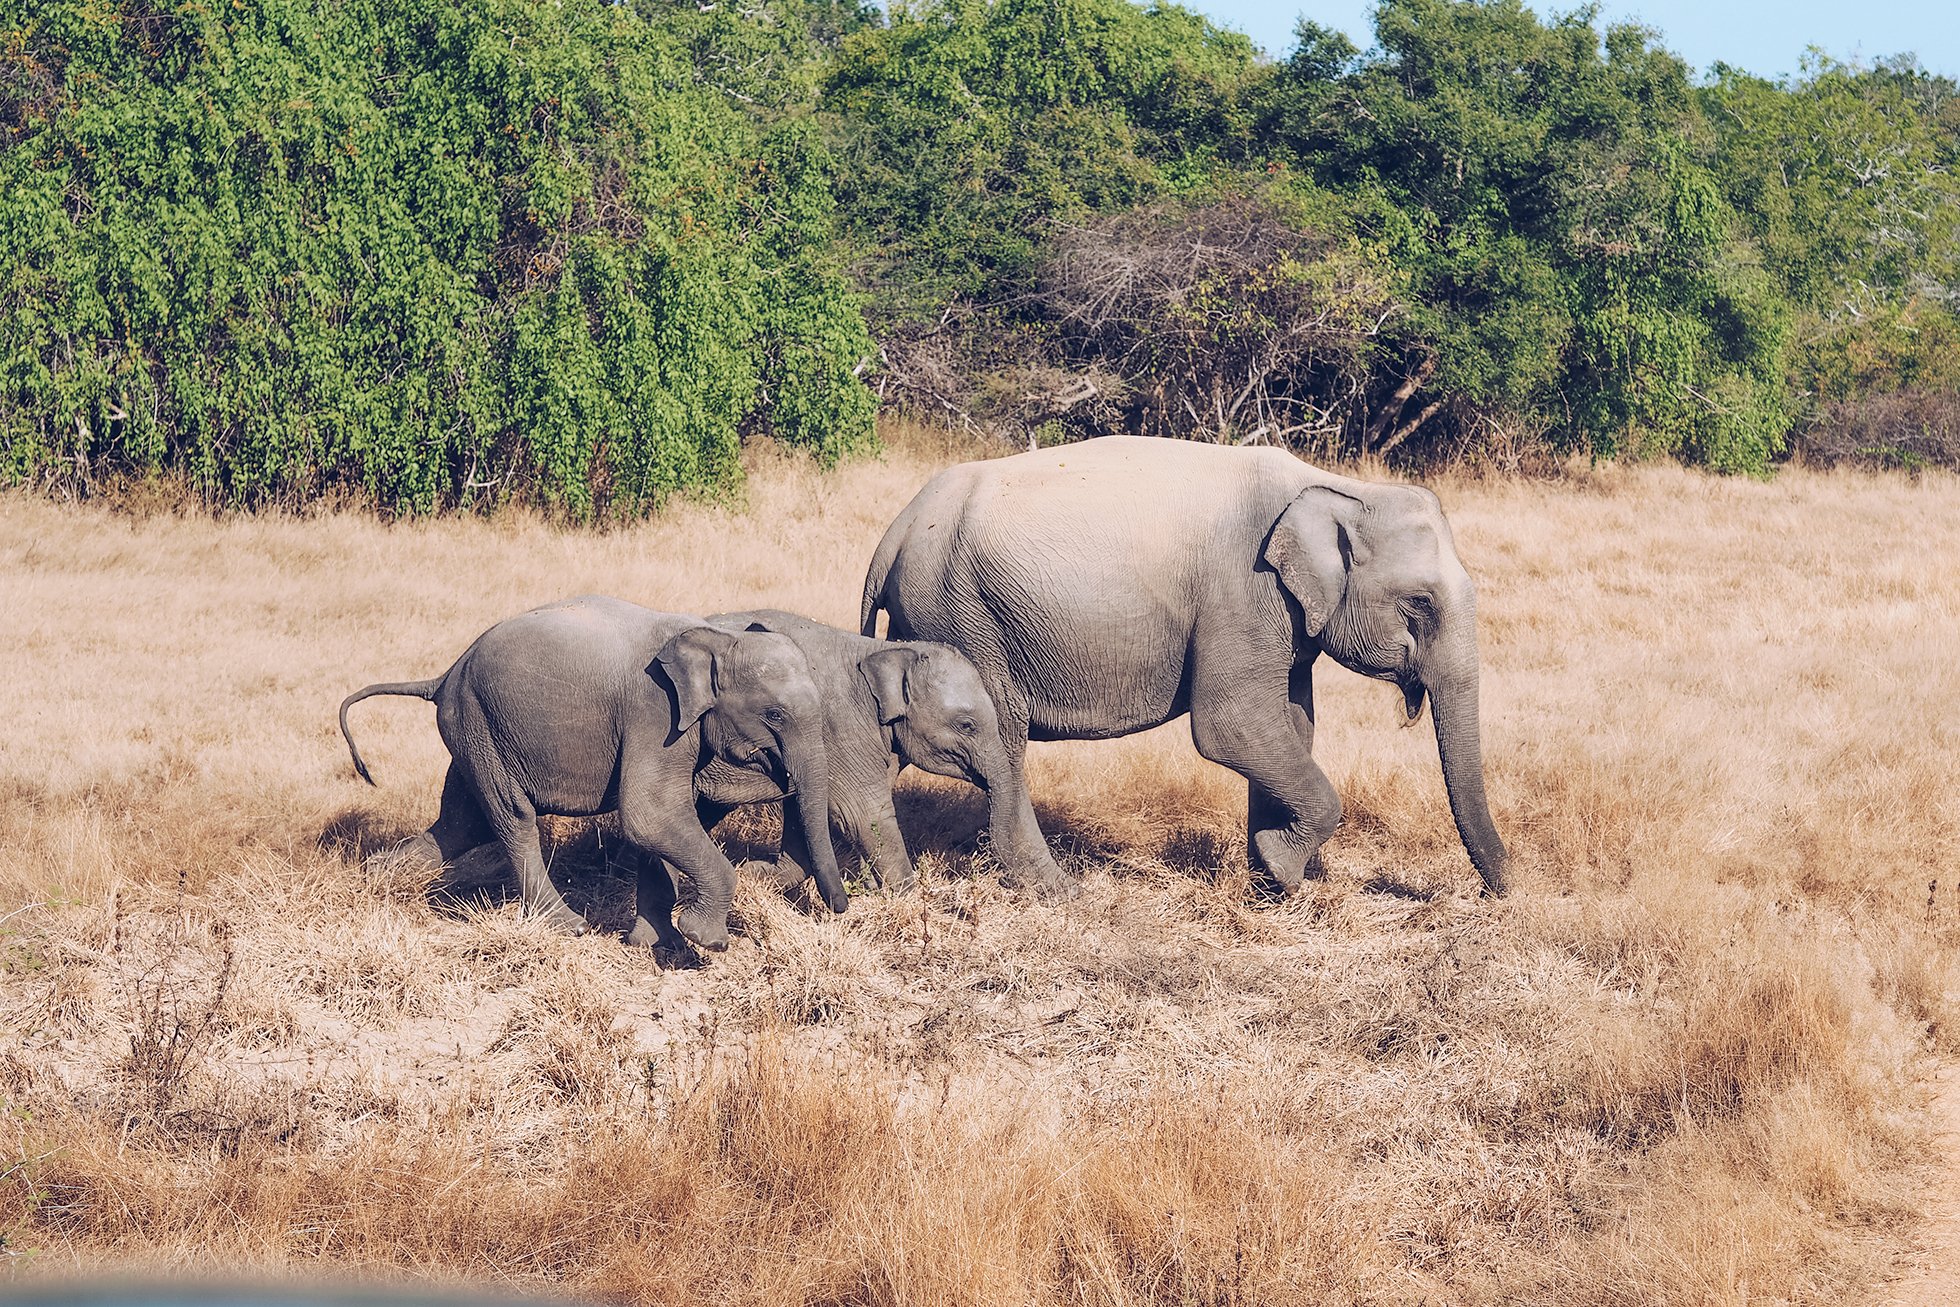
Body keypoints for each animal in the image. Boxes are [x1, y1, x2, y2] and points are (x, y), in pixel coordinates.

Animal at [331, 599, 850, 956]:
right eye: (774, 715)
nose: (840, 909)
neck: (716, 635)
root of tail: (442, 675)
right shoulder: (653, 712)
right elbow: (649, 814)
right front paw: (705, 941)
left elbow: (663, 822)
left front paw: (651, 944)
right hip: (479, 724)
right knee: (511, 816)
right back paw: (568, 925)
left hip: (473, 732)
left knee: (460, 823)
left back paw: (377, 878)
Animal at [862, 436, 1513, 901]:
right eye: (1420, 604)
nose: (1503, 894)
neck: (1336, 486)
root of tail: (894, 533)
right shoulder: (1242, 592)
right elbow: (1230, 727)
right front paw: (1285, 869)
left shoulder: (1282, 615)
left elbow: (1292, 723)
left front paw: (1271, 880)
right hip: (963, 616)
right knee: (1002, 740)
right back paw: (1063, 892)